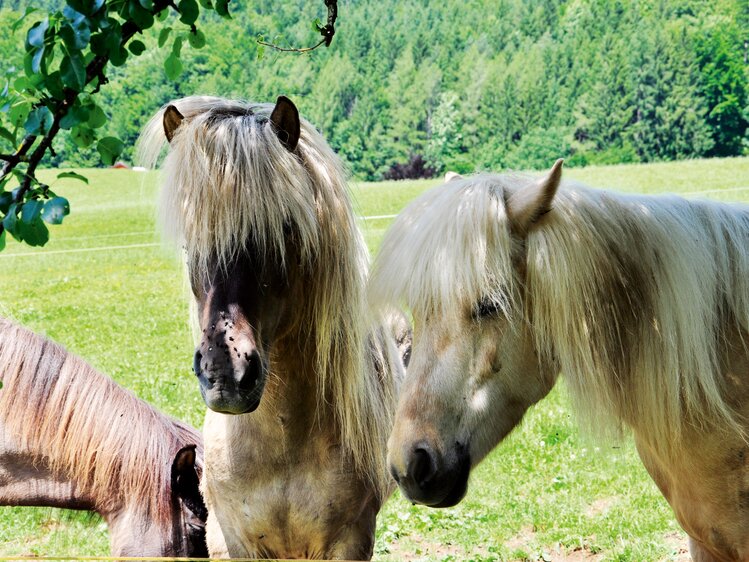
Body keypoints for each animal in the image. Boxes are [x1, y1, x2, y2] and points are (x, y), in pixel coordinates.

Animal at [134, 95, 404, 556]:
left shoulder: (349, 540)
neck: (280, 450)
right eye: (190, 238)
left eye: (285, 228)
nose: (224, 374)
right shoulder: (229, 540)